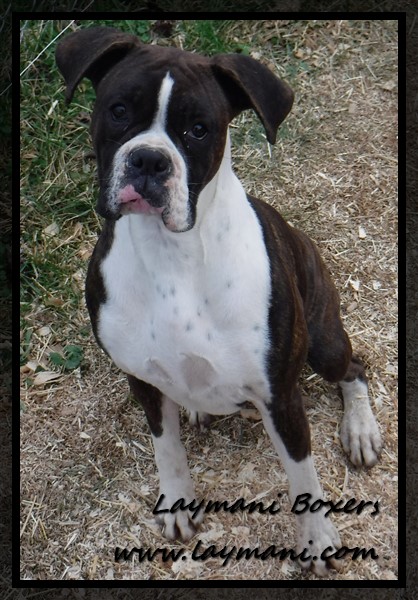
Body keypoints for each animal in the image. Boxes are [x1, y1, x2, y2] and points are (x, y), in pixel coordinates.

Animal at [56, 26, 382, 576]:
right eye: (119, 110)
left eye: (199, 129)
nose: (149, 160)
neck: (172, 256)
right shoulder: (143, 380)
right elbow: (166, 448)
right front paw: (176, 502)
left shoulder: (280, 395)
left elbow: (303, 476)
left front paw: (317, 540)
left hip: (323, 342)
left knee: (354, 367)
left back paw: (360, 430)